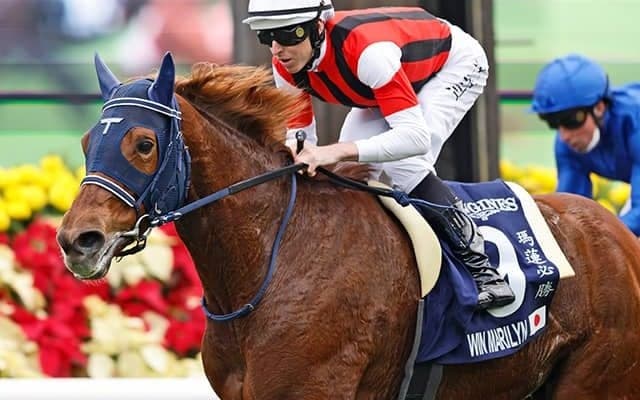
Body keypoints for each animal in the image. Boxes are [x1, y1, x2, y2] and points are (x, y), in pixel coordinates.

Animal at [56, 53, 640, 399]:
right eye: (86, 141)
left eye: (143, 143)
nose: (77, 240)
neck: (269, 264)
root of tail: (618, 237)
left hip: (597, 379)